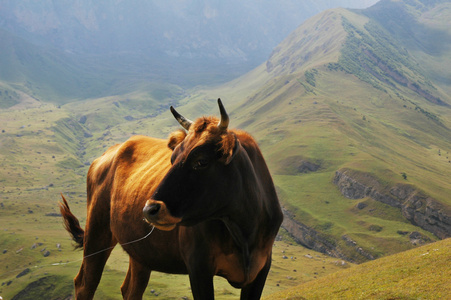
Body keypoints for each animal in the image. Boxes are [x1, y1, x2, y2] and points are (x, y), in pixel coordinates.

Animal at [60, 99, 282, 298]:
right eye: (173, 158)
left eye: (201, 161)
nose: (149, 209)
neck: (244, 233)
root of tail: (111, 151)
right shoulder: (198, 267)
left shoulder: (261, 270)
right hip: (97, 232)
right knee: (85, 284)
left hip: (141, 251)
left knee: (130, 289)